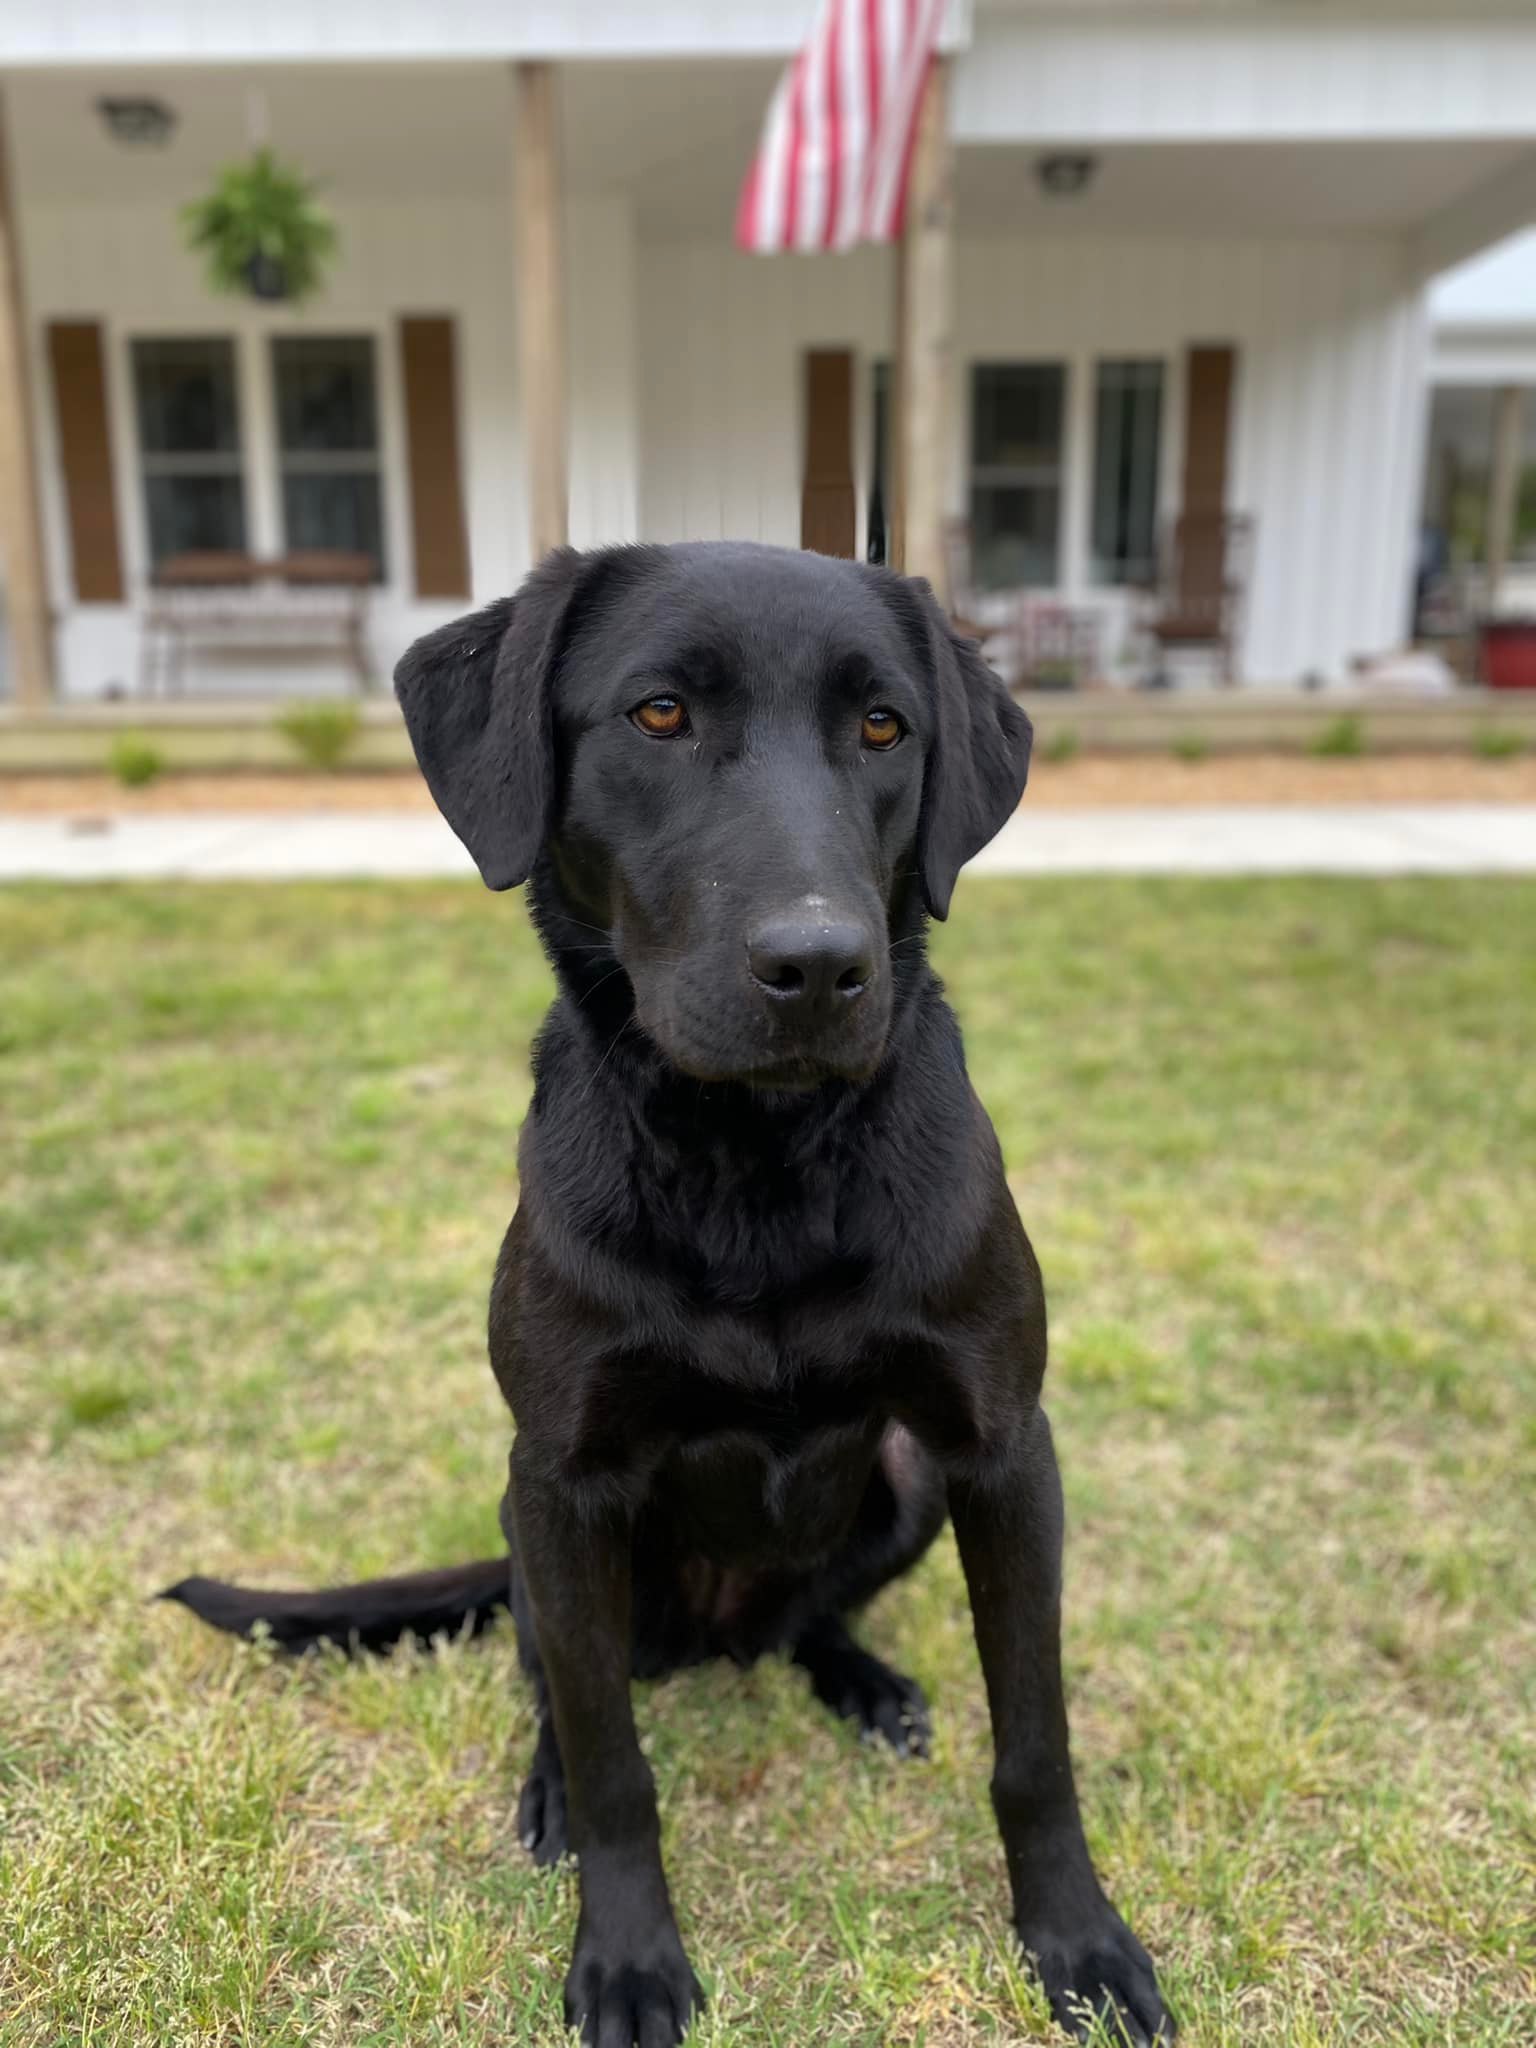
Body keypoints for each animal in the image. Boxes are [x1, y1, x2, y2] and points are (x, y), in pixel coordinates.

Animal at [167, 544, 1171, 2048]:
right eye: (658, 714)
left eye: (885, 726)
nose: (818, 967)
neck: (753, 1167)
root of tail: (715, 1631)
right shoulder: (566, 1477)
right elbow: (615, 1764)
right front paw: (628, 1958)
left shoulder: (1001, 1450)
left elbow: (1035, 1744)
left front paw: (1080, 1943)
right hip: (533, 1535)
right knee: (562, 1688)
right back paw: (549, 1789)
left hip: (901, 1483)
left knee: (811, 1618)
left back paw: (864, 1683)